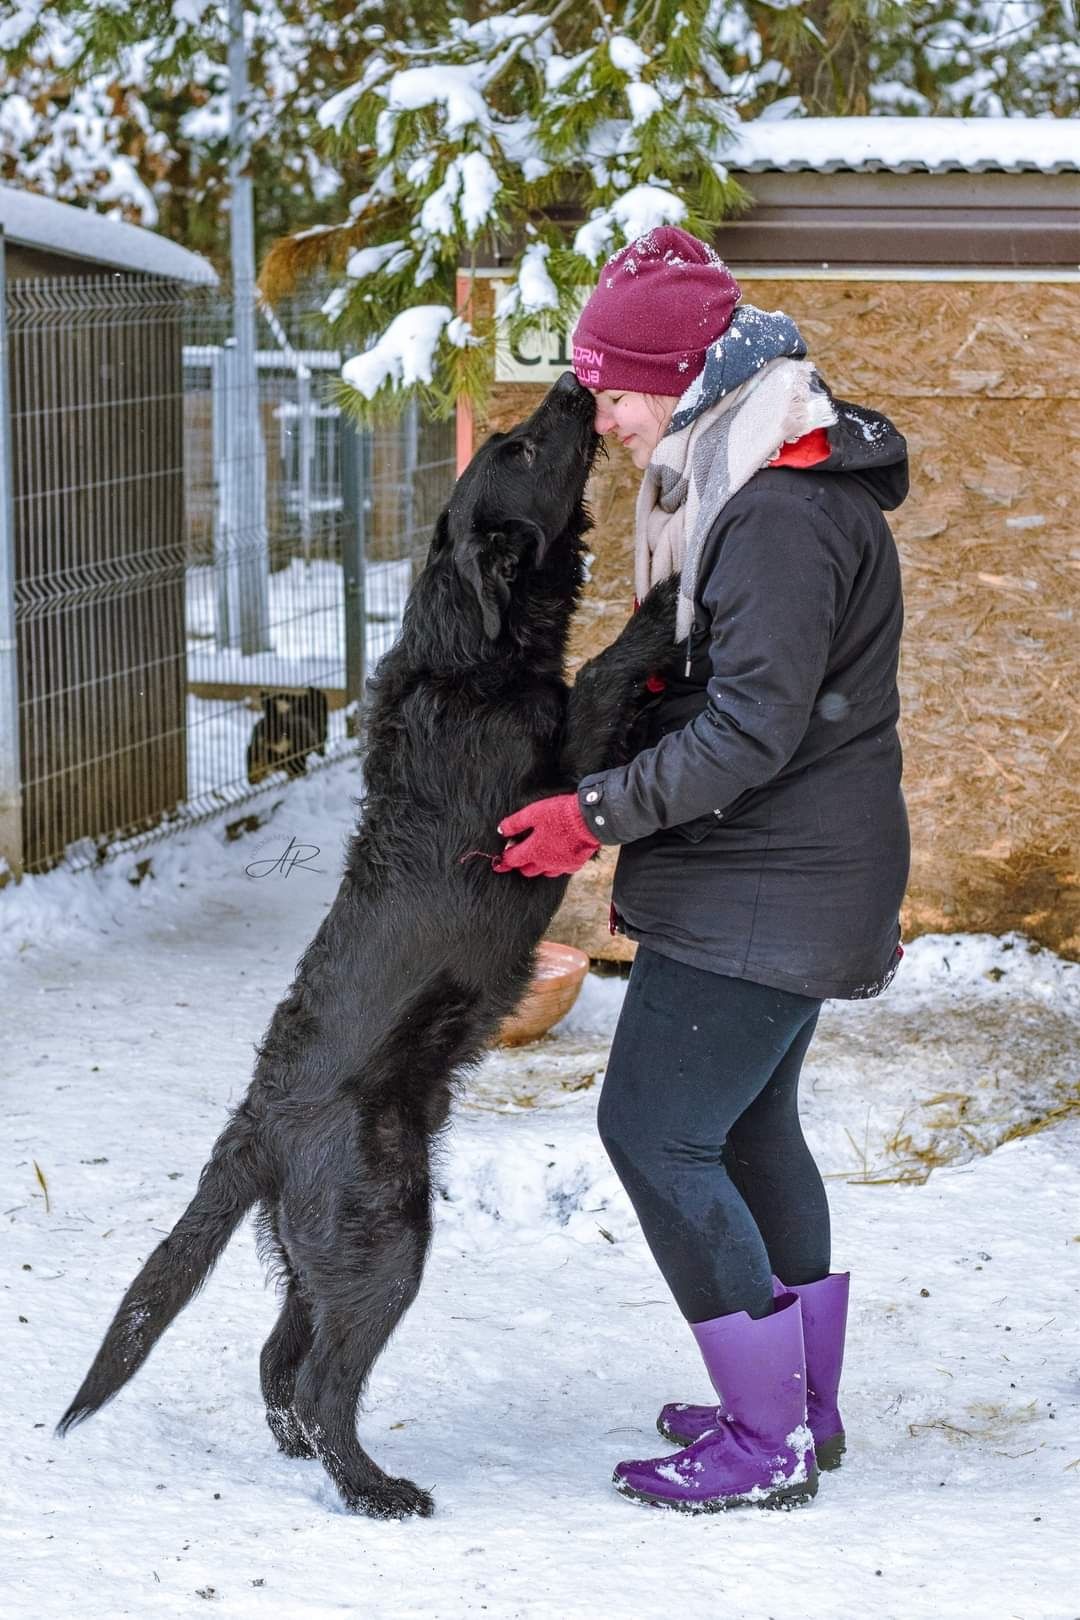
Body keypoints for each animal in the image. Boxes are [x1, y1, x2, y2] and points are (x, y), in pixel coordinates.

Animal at [59, 375, 680, 1516]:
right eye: (525, 449)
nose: (575, 380)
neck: (469, 658)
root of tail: (255, 1123)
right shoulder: (553, 780)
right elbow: (608, 675)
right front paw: (659, 612)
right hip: (386, 1231)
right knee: (320, 1379)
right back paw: (376, 1490)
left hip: (325, 1249)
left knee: (280, 1363)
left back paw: (313, 1462)